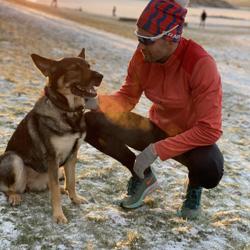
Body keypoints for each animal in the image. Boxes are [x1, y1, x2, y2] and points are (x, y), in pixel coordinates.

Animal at [0, 48, 102, 223]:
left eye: (88, 66)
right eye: (74, 68)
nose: (101, 76)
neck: (69, 113)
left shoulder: (72, 155)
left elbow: (71, 181)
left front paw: (75, 198)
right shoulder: (53, 157)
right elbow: (54, 191)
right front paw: (59, 215)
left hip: (56, 171)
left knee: (54, 183)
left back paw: (62, 189)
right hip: (14, 159)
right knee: (8, 187)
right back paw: (14, 196)